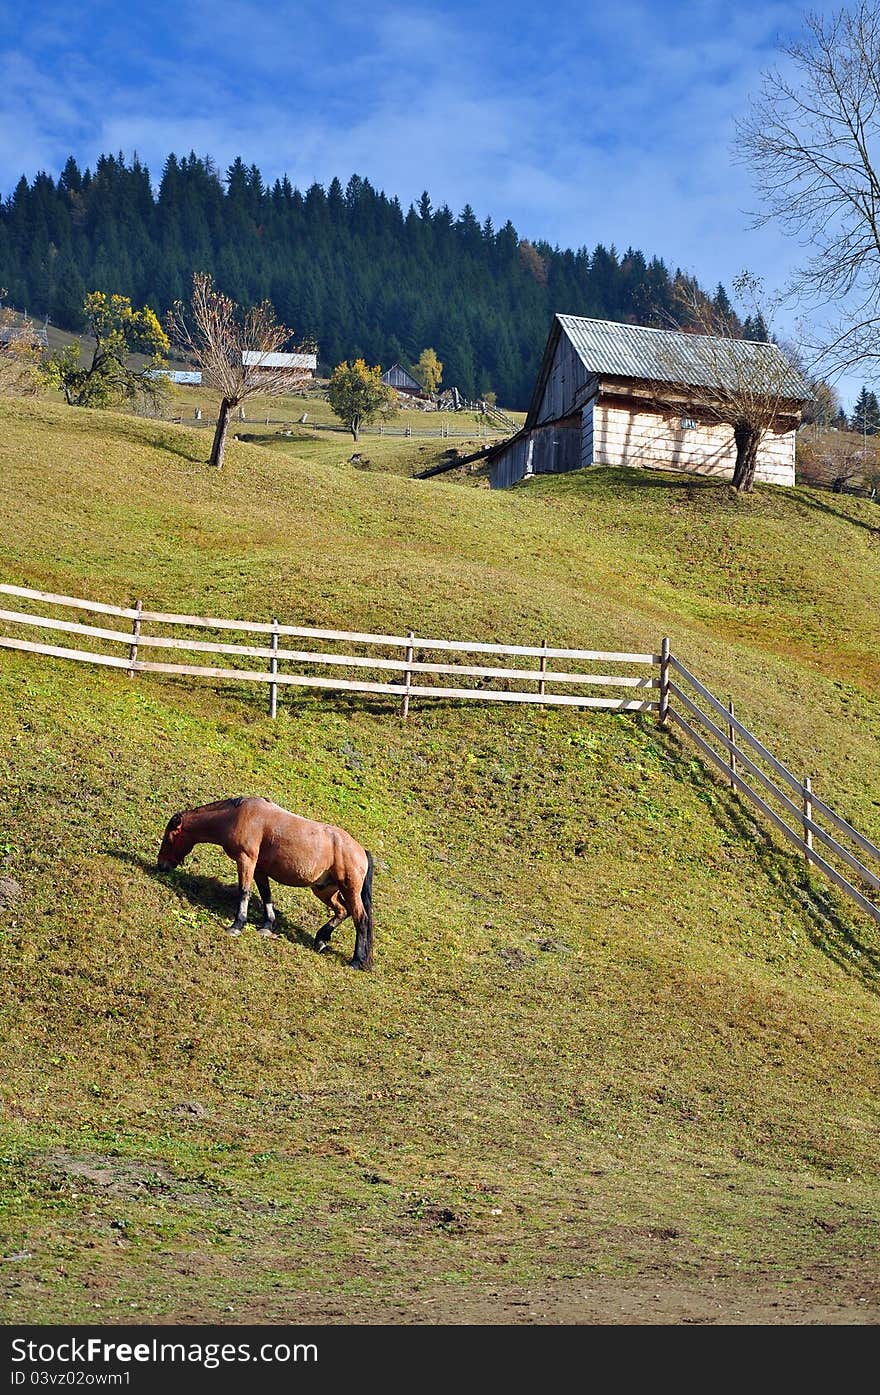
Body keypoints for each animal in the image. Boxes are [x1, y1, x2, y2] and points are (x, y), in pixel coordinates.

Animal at [158, 797, 376, 970]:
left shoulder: (246, 860)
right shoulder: (259, 870)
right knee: (342, 911)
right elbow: (266, 896)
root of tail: (361, 851)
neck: (238, 816)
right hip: (324, 890)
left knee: (360, 919)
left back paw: (356, 961)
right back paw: (321, 939)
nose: (161, 865)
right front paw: (267, 926)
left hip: (349, 889)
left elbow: (244, 892)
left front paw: (237, 925)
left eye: (169, 838)